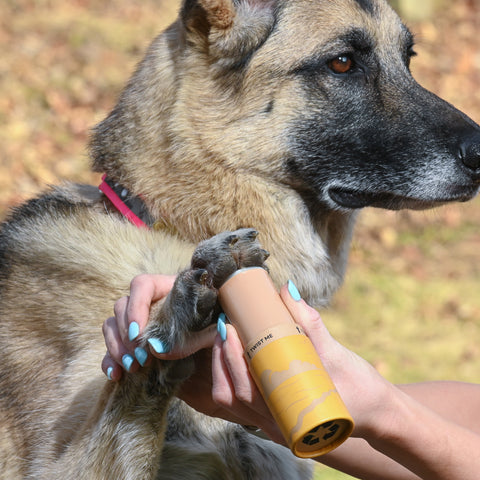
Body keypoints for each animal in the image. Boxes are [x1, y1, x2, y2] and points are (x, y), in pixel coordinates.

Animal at [0, 0, 480, 478]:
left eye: (408, 60)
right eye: (342, 63)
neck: (171, 224)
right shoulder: (56, 467)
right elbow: (135, 373)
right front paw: (173, 311)